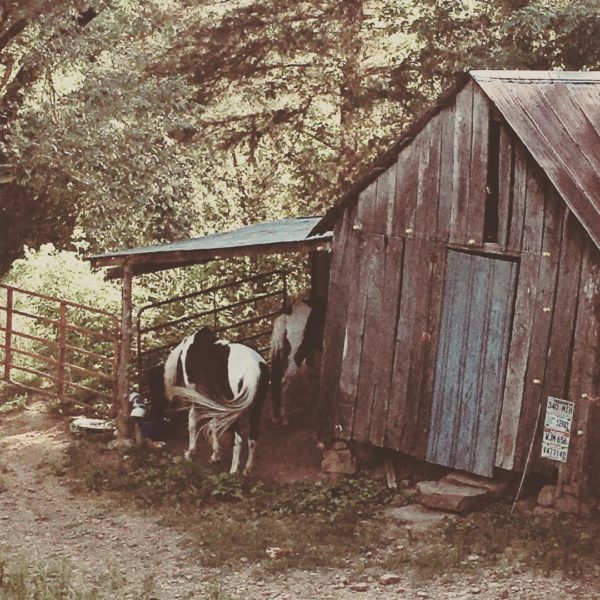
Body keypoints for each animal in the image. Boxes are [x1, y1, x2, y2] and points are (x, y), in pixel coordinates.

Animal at [151, 326, 270, 476]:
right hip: (255, 408)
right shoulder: (215, 401)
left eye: (153, 394)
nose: (155, 439)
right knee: (252, 438)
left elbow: (192, 421)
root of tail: (253, 370)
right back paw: (247, 470)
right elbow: (213, 424)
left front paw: (190, 453)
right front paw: (215, 455)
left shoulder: (196, 394)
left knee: (238, 439)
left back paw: (233, 471)